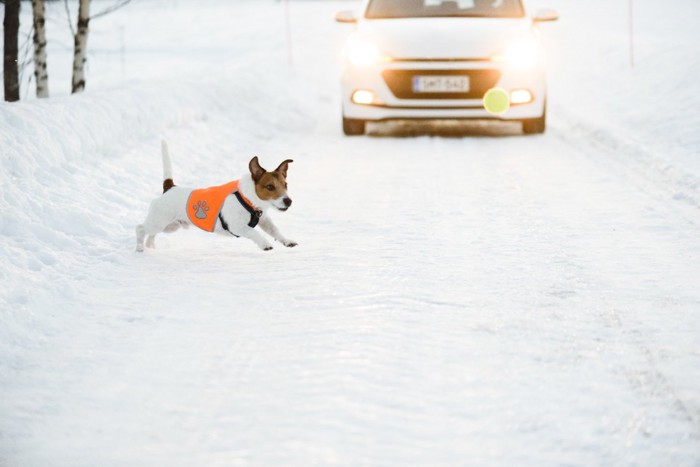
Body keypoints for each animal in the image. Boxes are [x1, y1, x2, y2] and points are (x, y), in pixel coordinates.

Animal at [137, 142, 298, 252]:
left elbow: (275, 230)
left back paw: (150, 244)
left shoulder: (265, 220)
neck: (248, 198)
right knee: (140, 228)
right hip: (159, 221)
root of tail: (170, 187)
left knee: (151, 233)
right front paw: (265, 243)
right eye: (270, 187)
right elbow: (254, 232)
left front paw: (286, 240)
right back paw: (140, 247)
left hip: (170, 226)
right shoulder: (237, 226)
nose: (289, 201)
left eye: (285, 185)